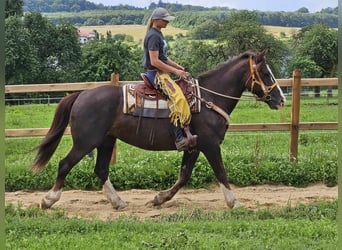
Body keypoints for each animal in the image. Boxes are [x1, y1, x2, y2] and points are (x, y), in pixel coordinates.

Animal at [30, 49, 286, 210]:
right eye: (265, 73)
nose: (281, 99)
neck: (208, 99)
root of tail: (81, 95)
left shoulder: (194, 147)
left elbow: (184, 176)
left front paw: (159, 199)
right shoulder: (210, 145)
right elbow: (221, 172)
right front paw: (234, 202)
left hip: (106, 141)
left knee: (101, 170)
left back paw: (118, 202)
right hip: (86, 142)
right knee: (65, 164)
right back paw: (49, 200)